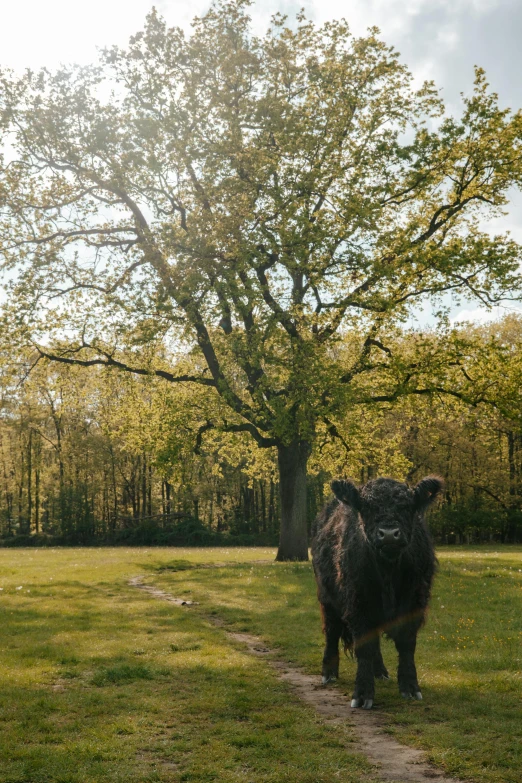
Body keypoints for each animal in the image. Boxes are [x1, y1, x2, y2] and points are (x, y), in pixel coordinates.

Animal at [310, 478, 440, 712]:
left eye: (406, 507)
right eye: (367, 508)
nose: (388, 534)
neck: (388, 569)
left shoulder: (414, 602)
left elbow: (407, 645)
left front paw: (410, 687)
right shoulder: (358, 604)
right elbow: (364, 646)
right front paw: (362, 695)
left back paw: (379, 671)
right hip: (327, 597)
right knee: (332, 632)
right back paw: (329, 673)